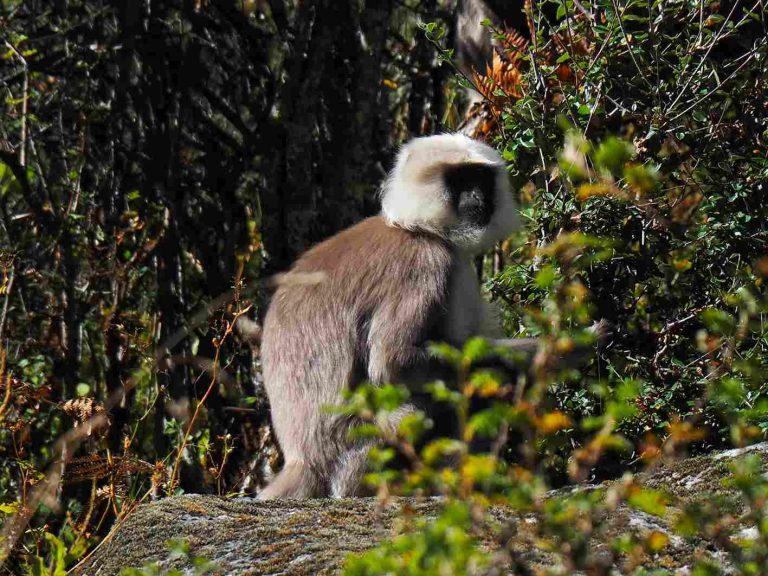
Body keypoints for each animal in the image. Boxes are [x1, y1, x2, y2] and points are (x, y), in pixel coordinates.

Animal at [257, 133, 602, 499]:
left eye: (481, 178)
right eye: (460, 179)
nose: (477, 197)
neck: (415, 227)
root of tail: (303, 462)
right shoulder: (426, 263)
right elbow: (394, 363)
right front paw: (566, 348)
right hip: (368, 450)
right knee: (481, 381)